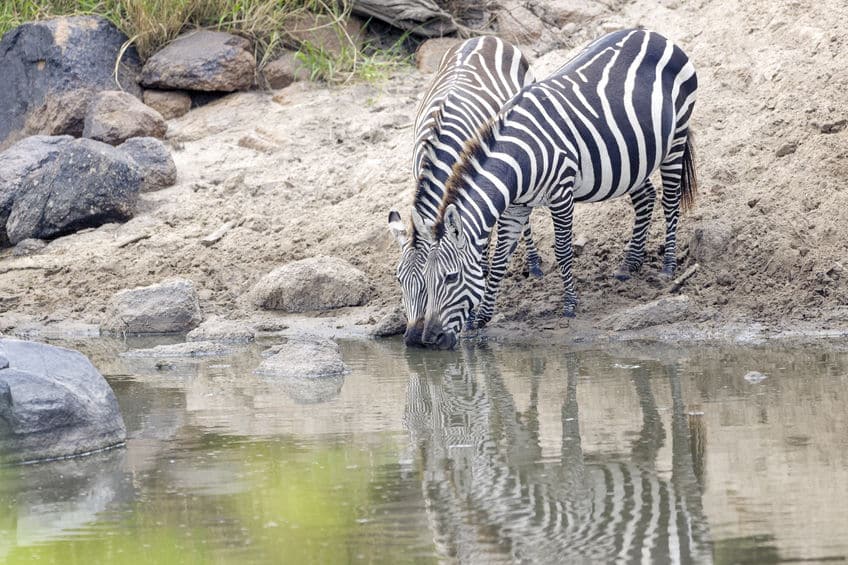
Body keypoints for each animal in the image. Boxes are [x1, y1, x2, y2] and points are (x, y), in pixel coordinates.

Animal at [420, 29, 704, 348]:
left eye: (451, 278)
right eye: (425, 282)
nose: (430, 339)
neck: (518, 160)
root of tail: (654, 34)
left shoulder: (562, 193)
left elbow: (563, 250)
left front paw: (569, 304)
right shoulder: (516, 207)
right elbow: (499, 257)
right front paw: (480, 317)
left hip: (677, 136)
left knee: (670, 202)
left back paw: (668, 266)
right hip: (634, 157)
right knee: (646, 198)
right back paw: (629, 264)